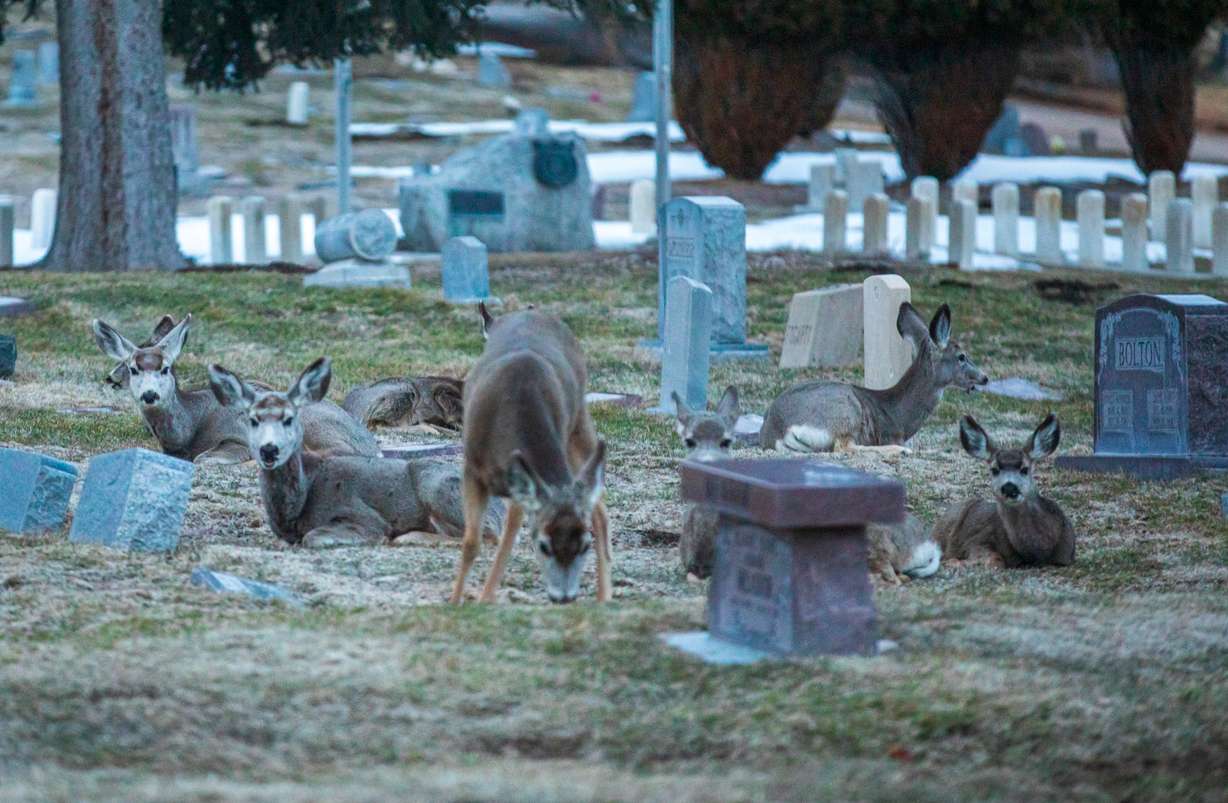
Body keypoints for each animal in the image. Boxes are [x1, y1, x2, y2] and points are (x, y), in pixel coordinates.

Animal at [92, 314, 380, 464]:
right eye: (133, 368)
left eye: (165, 368)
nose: (149, 395)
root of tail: (367, 439)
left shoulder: (238, 437)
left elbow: (203, 458)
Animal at [449, 308, 610, 605]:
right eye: (544, 546)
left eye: (584, 545)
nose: (565, 597)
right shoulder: (472, 469)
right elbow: (471, 543)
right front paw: (454, 603)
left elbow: (506, 542)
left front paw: (485, 599)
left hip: (578, 424)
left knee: (599, 509)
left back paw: (605, 597)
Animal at [760, 302, 988, 456]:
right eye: (962, 356)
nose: (984, 378)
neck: (900, 417)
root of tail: (777, 429)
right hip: (845, 411)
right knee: (843, 447)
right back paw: (900, 451)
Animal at [932, 413, 1075, 568]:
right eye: (994, 470)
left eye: (1024, 469)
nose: (1009, 487)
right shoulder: (975, 540)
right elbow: (995, 559)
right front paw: (955, 562)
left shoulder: (1067, 557)